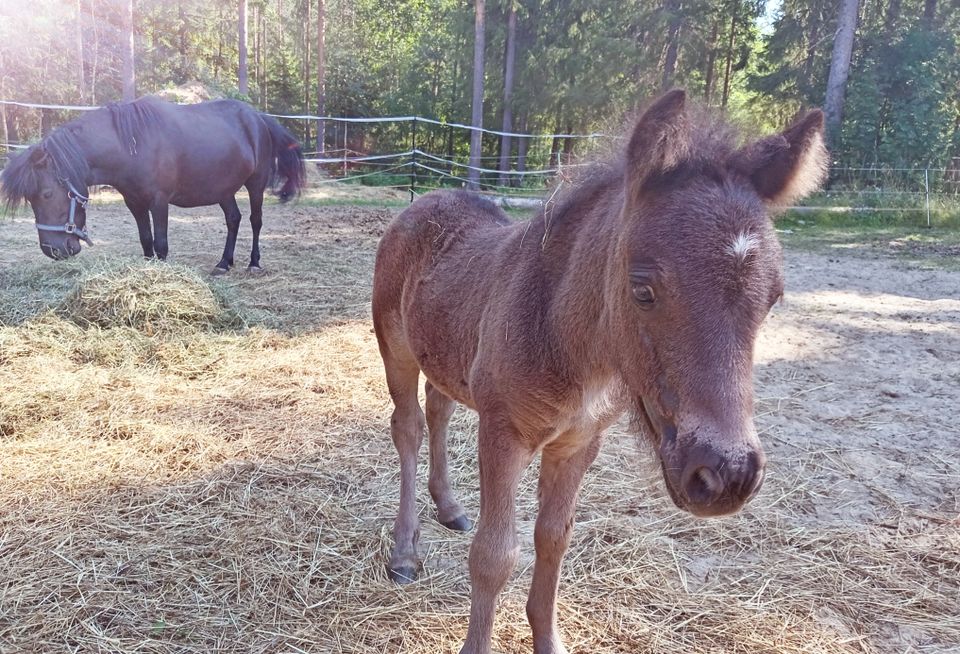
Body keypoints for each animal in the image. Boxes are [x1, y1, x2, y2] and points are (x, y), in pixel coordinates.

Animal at [0, 96, 304, 272]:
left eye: (47, 194)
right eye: (30, 200)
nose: (53, 251)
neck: (132, 145)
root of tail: (258, 118)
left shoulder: (159, 201)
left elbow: (161, 243)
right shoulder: (134, 202)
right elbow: (146, 241)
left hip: (255, 185)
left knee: (255, 221)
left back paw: (254, 263)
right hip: (223, 189)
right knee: (233, 219)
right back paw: (223, 263)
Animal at [372, 91, 828, 654]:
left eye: (773, 299)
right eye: (643, 290)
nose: (727, 475)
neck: (564, 335)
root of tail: (423, 200)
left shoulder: (579, 443)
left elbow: (554, 538)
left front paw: (548, 639)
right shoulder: (503, 433)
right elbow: (494, 556)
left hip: (445, 352)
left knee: (438, 409)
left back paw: (449, 507)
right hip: (396, 348)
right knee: (409, 428)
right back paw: (405, 552)